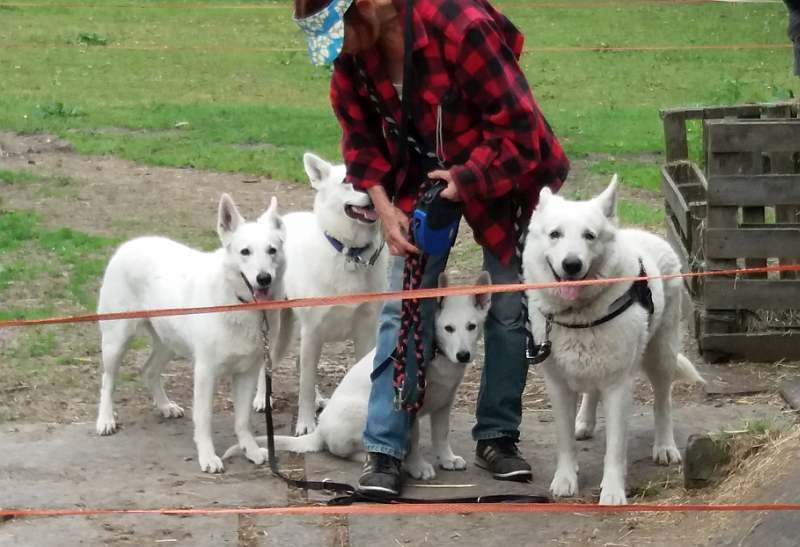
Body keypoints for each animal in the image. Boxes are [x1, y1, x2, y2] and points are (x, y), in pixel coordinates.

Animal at [95, 195, 288, 474]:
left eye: (272, 250)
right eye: (245, 252)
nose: (264, 278)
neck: (237, 301)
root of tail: (128, 245)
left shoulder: (248, 373)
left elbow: (243, 420)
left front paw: (249, 450)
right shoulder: (205, 372)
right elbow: (204, 419)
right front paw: (207, 457)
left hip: (168, 343)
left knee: (149, 370)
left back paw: (165, 406)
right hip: (116, 342)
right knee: (107, 380)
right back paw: (106, 419)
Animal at [225, 272, 490, 480]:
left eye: (472, 326)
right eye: (448, 328)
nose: (463, 355)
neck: (436, 353)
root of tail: (319, 431)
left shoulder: (444, 403)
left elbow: (441, 434)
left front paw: (447, 458)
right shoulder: (408, 405)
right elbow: (414, 438)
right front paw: (418, 466)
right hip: (363, 412)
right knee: (344, 451)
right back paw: (382, 459)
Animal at [252, 151, 386, 436]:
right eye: (348, 181)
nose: (370, 193)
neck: (348, 252)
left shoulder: (365, 332)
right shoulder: (313, 331)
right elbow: (304, 385)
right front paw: (305, 424)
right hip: (278, 330)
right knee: (267, 364)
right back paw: (261, 399)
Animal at [520, 178, 704, 508]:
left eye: (589, 236)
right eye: (555, 234)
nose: (571, 264)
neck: (580, 316)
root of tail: (645, 234)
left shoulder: (619, 386)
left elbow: (615, 449)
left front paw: (613, 491)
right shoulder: (558, 385)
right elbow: (564, 440)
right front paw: (565, 479)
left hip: (661, 356)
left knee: (663, 403)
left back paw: (664, 446)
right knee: (591, 392)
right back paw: (584, 422)